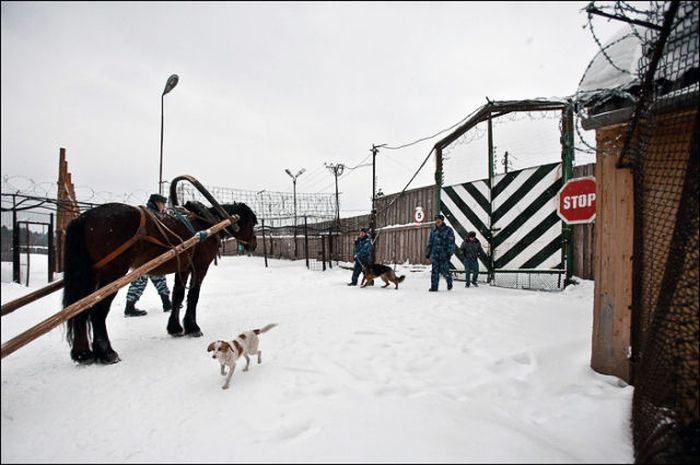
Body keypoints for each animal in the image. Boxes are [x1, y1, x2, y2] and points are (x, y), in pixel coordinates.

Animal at [63, 201, 258, 364]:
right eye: (253, 223)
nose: (254, 244)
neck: (207, 224)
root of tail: (84, 218)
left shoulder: (183, 267)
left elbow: (178, 295)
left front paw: (175, 328)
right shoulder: (200, 266)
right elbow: (193, 296)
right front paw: (192, 327)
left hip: (90, 274)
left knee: (79, 310)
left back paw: (82, 354)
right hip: (112, 273)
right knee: (97, 310)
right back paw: (107, 353)